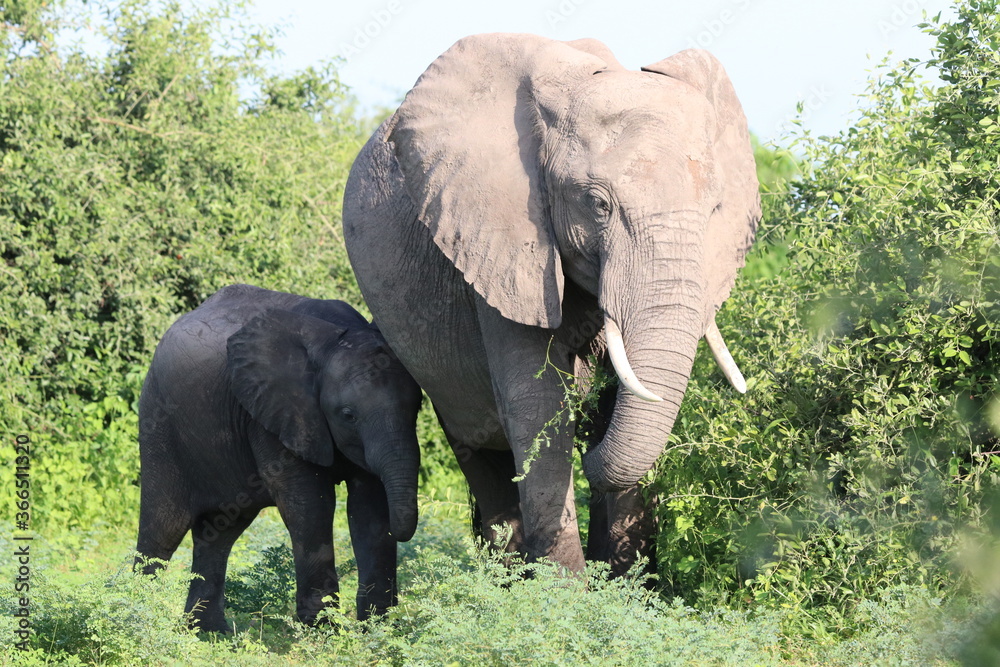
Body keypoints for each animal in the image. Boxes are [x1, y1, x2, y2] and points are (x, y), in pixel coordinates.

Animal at [134, 284, 422, 631]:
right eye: (348, 415)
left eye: (418, 407)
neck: (334, 338)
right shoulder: (274, 413)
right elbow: (309, 504)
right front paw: (322, 629)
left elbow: (369, 506)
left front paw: (376, 627)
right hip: (159, 424)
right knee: (163, 529)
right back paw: (136, 615)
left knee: (219, 531)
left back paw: (209, 633)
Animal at [342, 34, 759, 574]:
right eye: (598, 205)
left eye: (714, 210)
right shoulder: (497, 249)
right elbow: (537, 408)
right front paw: (568, 594)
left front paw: (625, 589)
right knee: (480, 453)